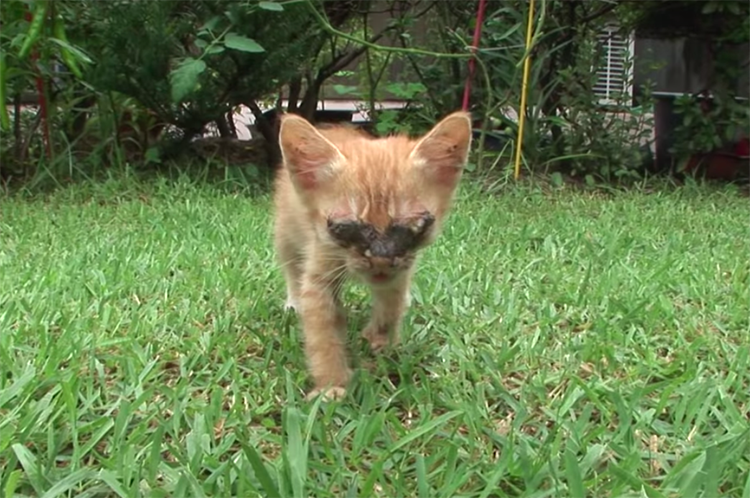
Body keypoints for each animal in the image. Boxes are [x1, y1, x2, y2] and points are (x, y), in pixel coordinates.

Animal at [274, 111, 472, 398]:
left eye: (415, 227)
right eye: (345, 228)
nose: (380, 257)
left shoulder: (400, 269)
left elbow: (391, 304)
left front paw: (380, 339)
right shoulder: (320, 268)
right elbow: (323, 333)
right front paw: (331, 384)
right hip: (285, 233)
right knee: (291, 267)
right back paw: (294, 302)